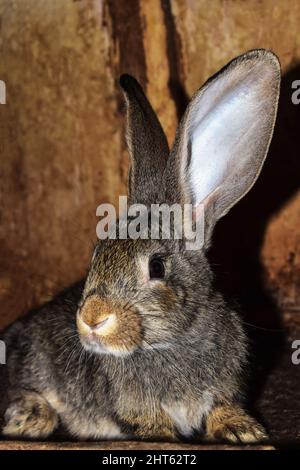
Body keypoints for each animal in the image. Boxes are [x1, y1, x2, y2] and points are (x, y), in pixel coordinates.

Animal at [0, 49, 282, 442]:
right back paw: (28, 417)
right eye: (96, 254)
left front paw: (244, 431)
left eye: (157, 267)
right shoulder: (135, 410)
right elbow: (152, 426)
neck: (171, 341)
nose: (92, 319)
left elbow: (221, 406)